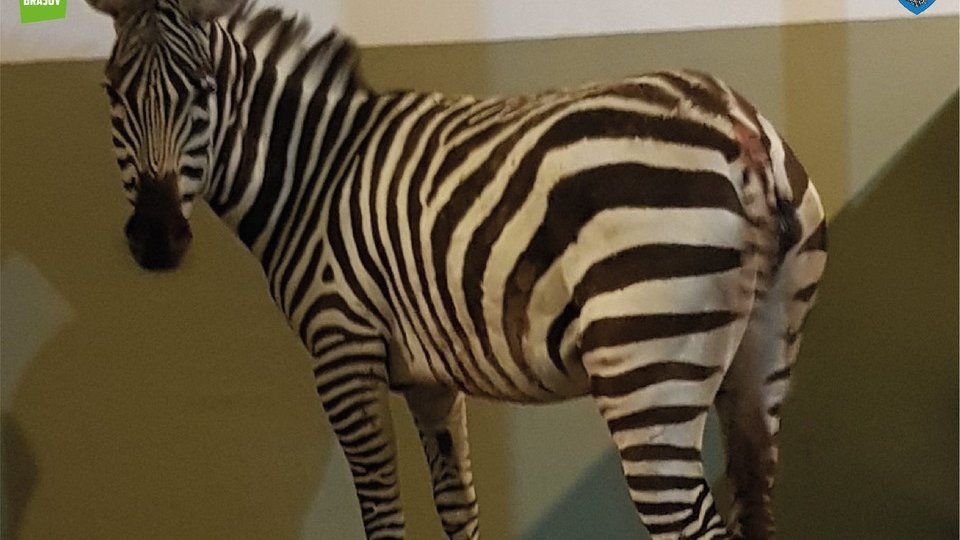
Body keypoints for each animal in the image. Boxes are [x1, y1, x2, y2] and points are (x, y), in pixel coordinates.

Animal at [85, 0, 828, 538]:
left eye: (204, 91)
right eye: (112, 92)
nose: (156, 238)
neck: (313, 175)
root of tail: (739, 124)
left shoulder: (342, 350)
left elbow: (382, 511)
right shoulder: (431, 379)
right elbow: (456, 504)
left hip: (646, 371)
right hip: (763, 358)